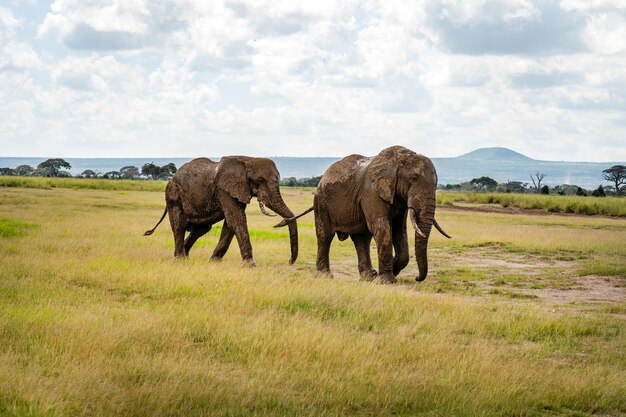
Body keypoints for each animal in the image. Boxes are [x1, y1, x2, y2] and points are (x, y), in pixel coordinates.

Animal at [144, 154, 298, 264]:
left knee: (201, 229)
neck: (247, 159)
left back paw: (185, 257)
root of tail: (172, 178)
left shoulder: (237, 191)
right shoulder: (224, 190)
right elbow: (236, 219)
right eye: (260, 180)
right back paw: (180, 260)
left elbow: (230, 223)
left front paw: (213, 262)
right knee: (179, 226)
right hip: (173, 195)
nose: (289, 261)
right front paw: (250, 265)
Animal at [276, 144, 446, 282]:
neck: (400, 158)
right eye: (414, 178)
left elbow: (399, 230)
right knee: (325, 236)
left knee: (361, 239)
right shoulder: (371, 192)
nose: (417, 278)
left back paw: (369, 277)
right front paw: (386, 281)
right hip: (321, 202)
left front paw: (390, 272)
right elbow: (382, 228)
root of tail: (323, 177)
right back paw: (325, 276)